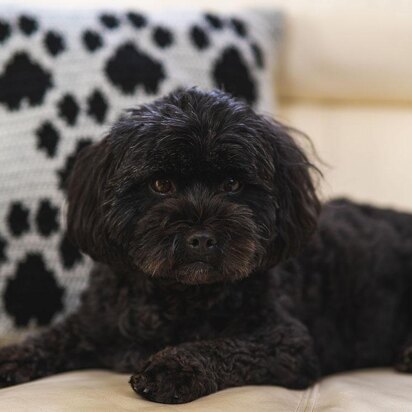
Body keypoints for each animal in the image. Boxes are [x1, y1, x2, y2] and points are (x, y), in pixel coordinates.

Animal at [0, 88, 412, 404]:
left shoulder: (288, 343)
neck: (179, 295)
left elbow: (224, 346)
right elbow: (50, 337)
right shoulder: (92, 321)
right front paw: (10, 357)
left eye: (232, 184)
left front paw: (173, 368)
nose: (200, 238)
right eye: (160, 184)